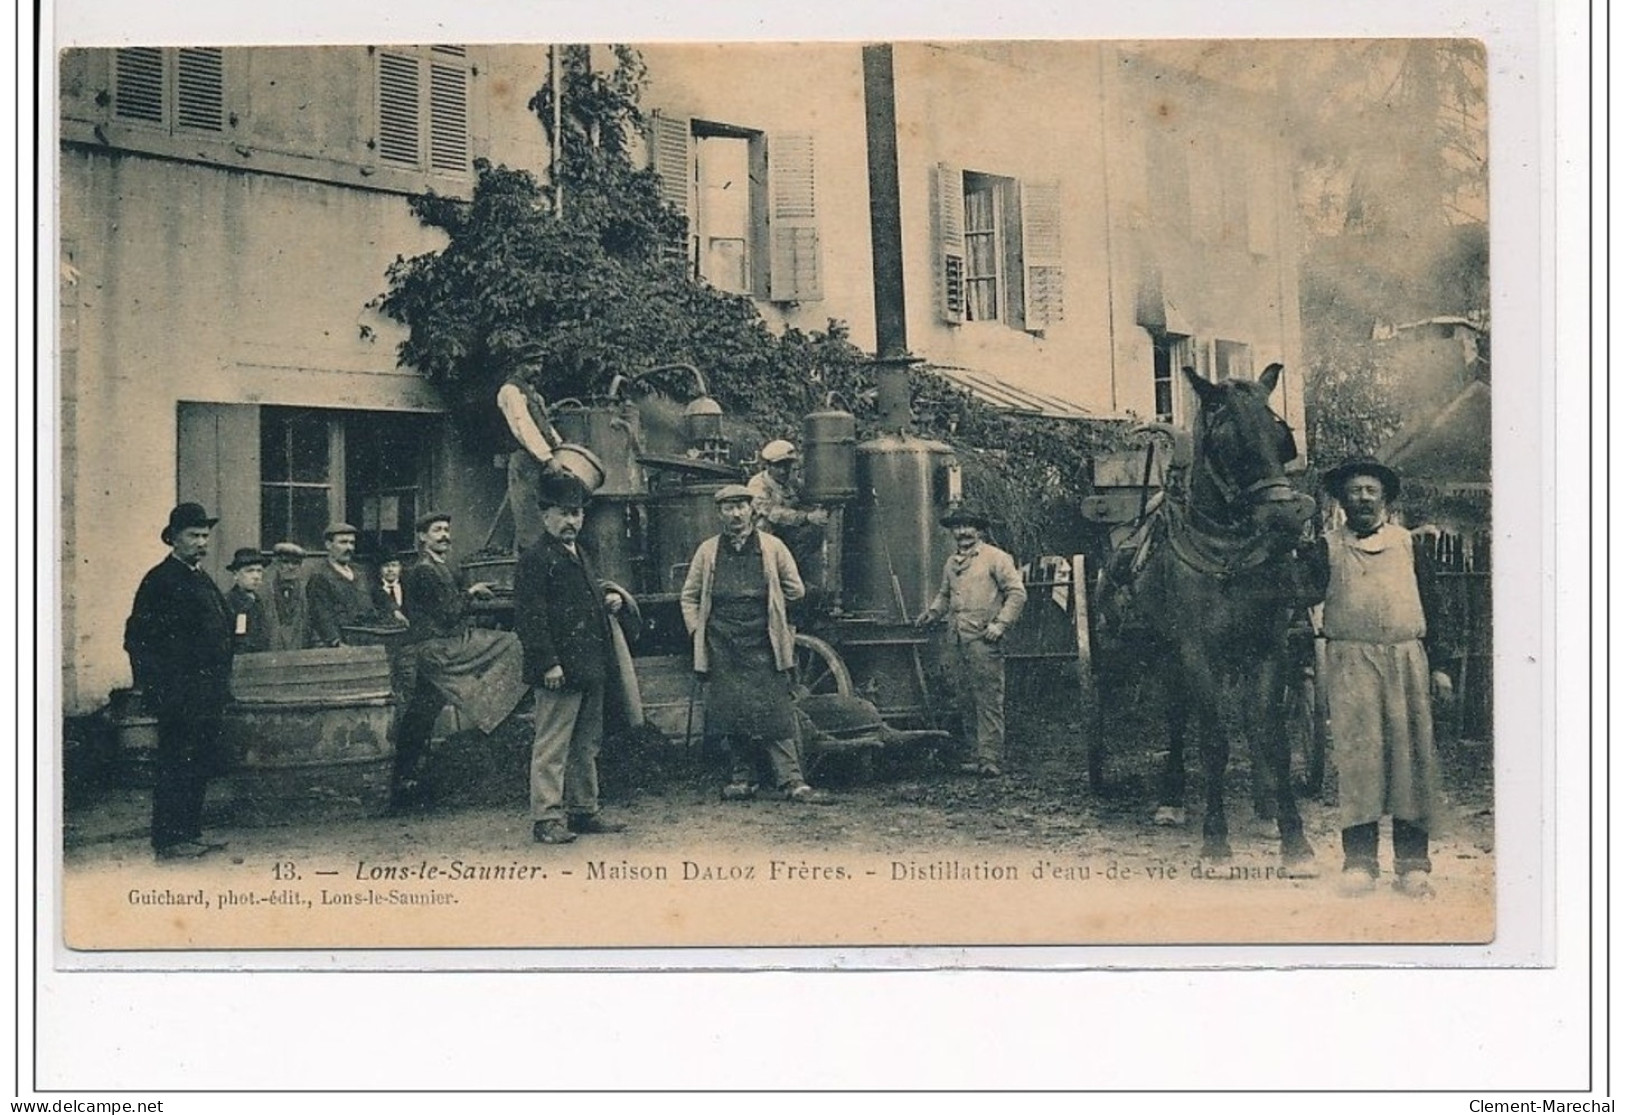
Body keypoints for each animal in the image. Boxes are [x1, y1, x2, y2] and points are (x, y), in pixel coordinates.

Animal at [1105, 364, 1319, 864]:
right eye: (1229, 443)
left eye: (1282, 438)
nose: (1288, 519)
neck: (1230, 554)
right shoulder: (1195, 649)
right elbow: (1214, 740)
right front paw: (1216, 841)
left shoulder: (1268, 647)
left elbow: (1272, 737)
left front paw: (1293, 837)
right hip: (1166, 650)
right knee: (1178, 714)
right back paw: (1172, 798)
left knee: (1248, 720)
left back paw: (1263, 807)